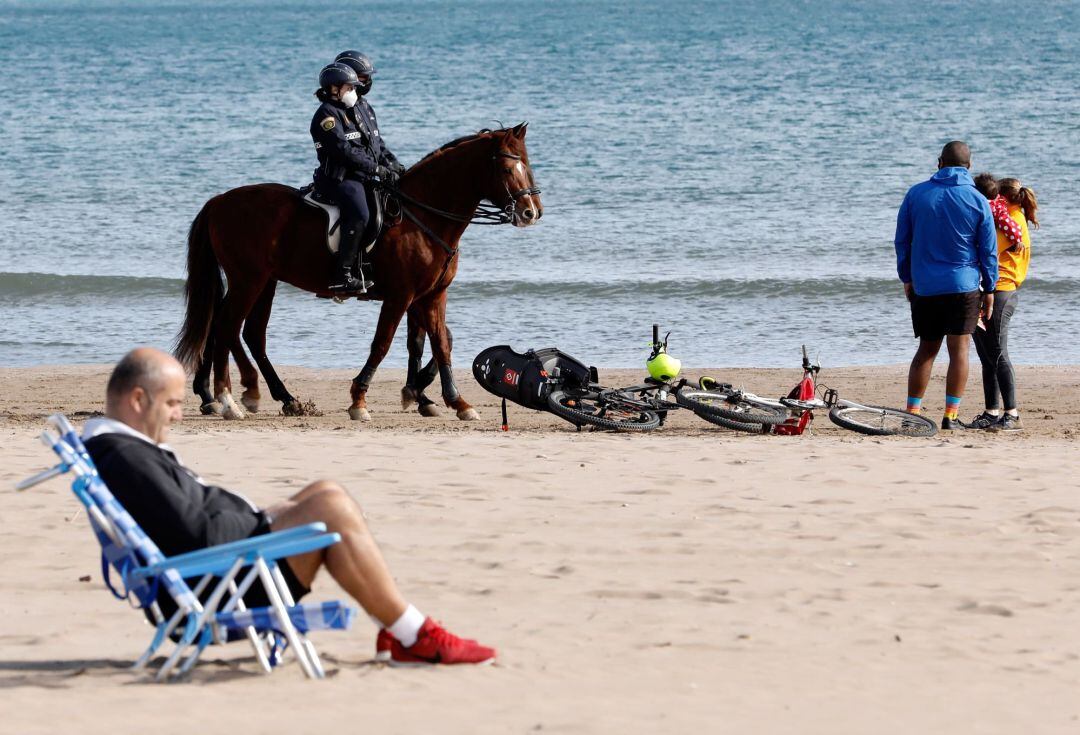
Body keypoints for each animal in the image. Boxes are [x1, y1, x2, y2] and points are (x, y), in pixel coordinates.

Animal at [174, 124, 540, 420]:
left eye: (528, 164)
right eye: (507, 168)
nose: (531, 211)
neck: (422, 217)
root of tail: (220, 201)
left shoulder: (433, 295)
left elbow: (439, 342)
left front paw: (454, 402)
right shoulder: (401, 295)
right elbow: (384, 343)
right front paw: (360, 399)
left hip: (265, 282)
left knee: (247, 332)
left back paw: (276, 397)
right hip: (248, 280)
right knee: (226, 326)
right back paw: (229, 399)